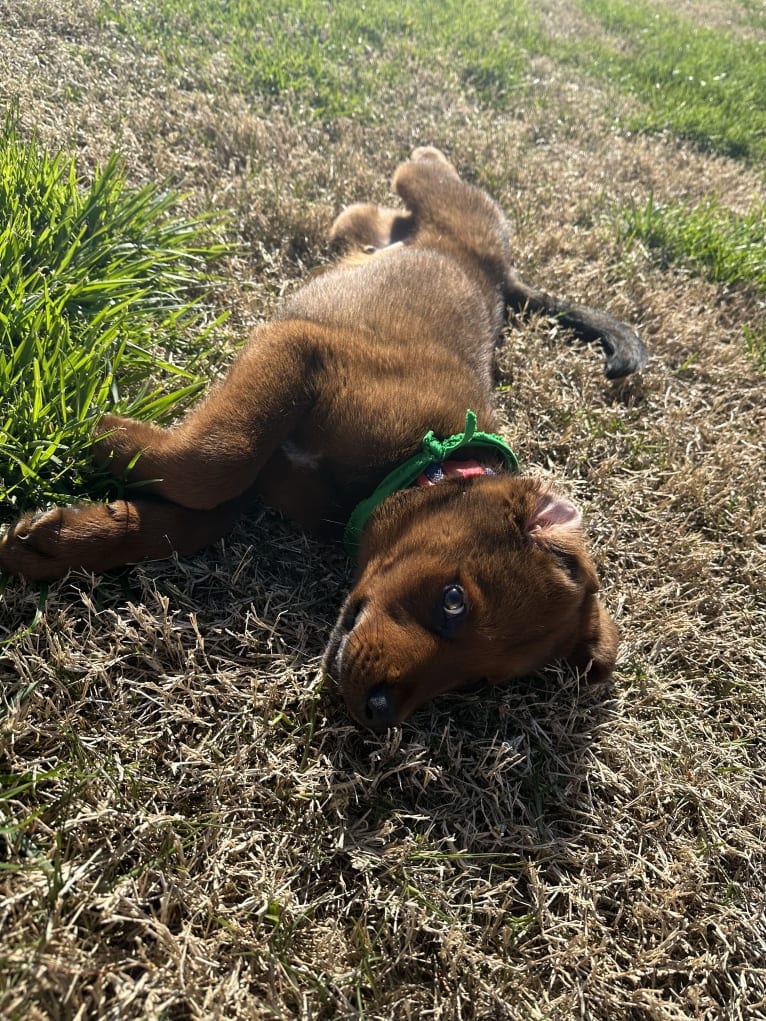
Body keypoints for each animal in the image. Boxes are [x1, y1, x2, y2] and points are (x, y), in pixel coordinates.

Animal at [0, 148, 649, 731]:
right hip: (439, 198)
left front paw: (63, 538)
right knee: (424, 176)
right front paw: (105, 435)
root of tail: (499, 273)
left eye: (474, 681)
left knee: (376, 220)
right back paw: (420, 166)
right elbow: (217, 462)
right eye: (453, 602)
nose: (378, 717)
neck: (420, 458)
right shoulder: (298, 350)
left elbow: (197, 515)